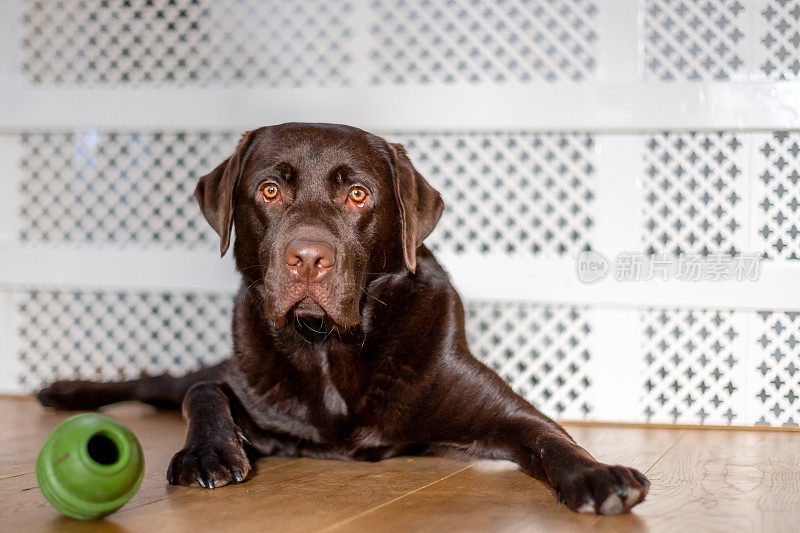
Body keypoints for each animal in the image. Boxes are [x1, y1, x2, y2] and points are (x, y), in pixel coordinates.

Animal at [37, 122, 648, 512]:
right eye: (269, 190)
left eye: (358, 194)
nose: (308, 259)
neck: (328, 346)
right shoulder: (249, 394)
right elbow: (205, 393)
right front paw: (206, 451)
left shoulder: (494, 411)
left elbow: (548, 434)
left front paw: (598, 475)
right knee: (164, 383)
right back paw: (62, 391)